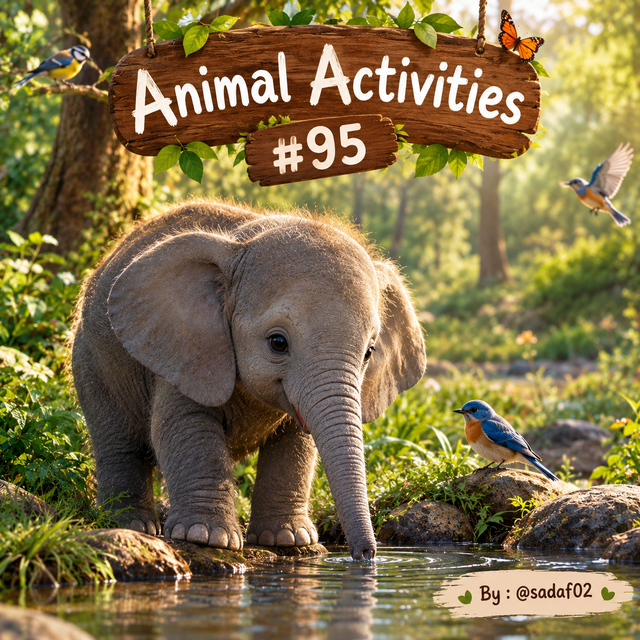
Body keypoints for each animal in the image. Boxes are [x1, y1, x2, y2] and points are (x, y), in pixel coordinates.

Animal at [71, 200, 426, 560]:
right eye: (278, 343)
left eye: (369, 352)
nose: (367, 555)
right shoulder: (186, 347)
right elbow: (185, 425)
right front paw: (206, 538)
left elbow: (295, 443)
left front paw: (289, 540)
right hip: (91, 362)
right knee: (118, 441)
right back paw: (131, 526)